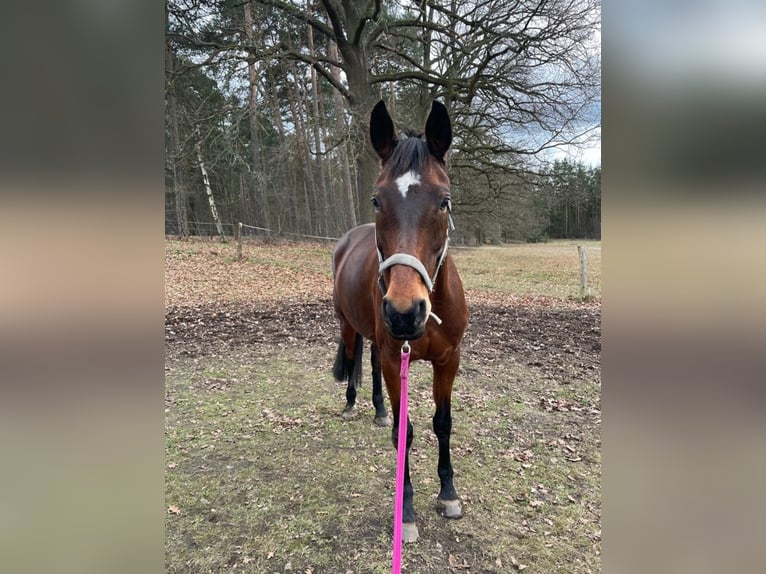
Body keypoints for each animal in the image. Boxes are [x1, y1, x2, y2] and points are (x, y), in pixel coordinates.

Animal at [332, 100, 468, 544]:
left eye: (444, 201)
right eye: (377, 200)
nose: (405, 312)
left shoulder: (448, 360)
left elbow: (443, 423)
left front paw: (448, 494)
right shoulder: (398, 360)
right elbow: (404, 433)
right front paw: (405, 512)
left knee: (371, 362)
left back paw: (377, 410)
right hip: (349, 325)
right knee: (355, 357)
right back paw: (353, 404)